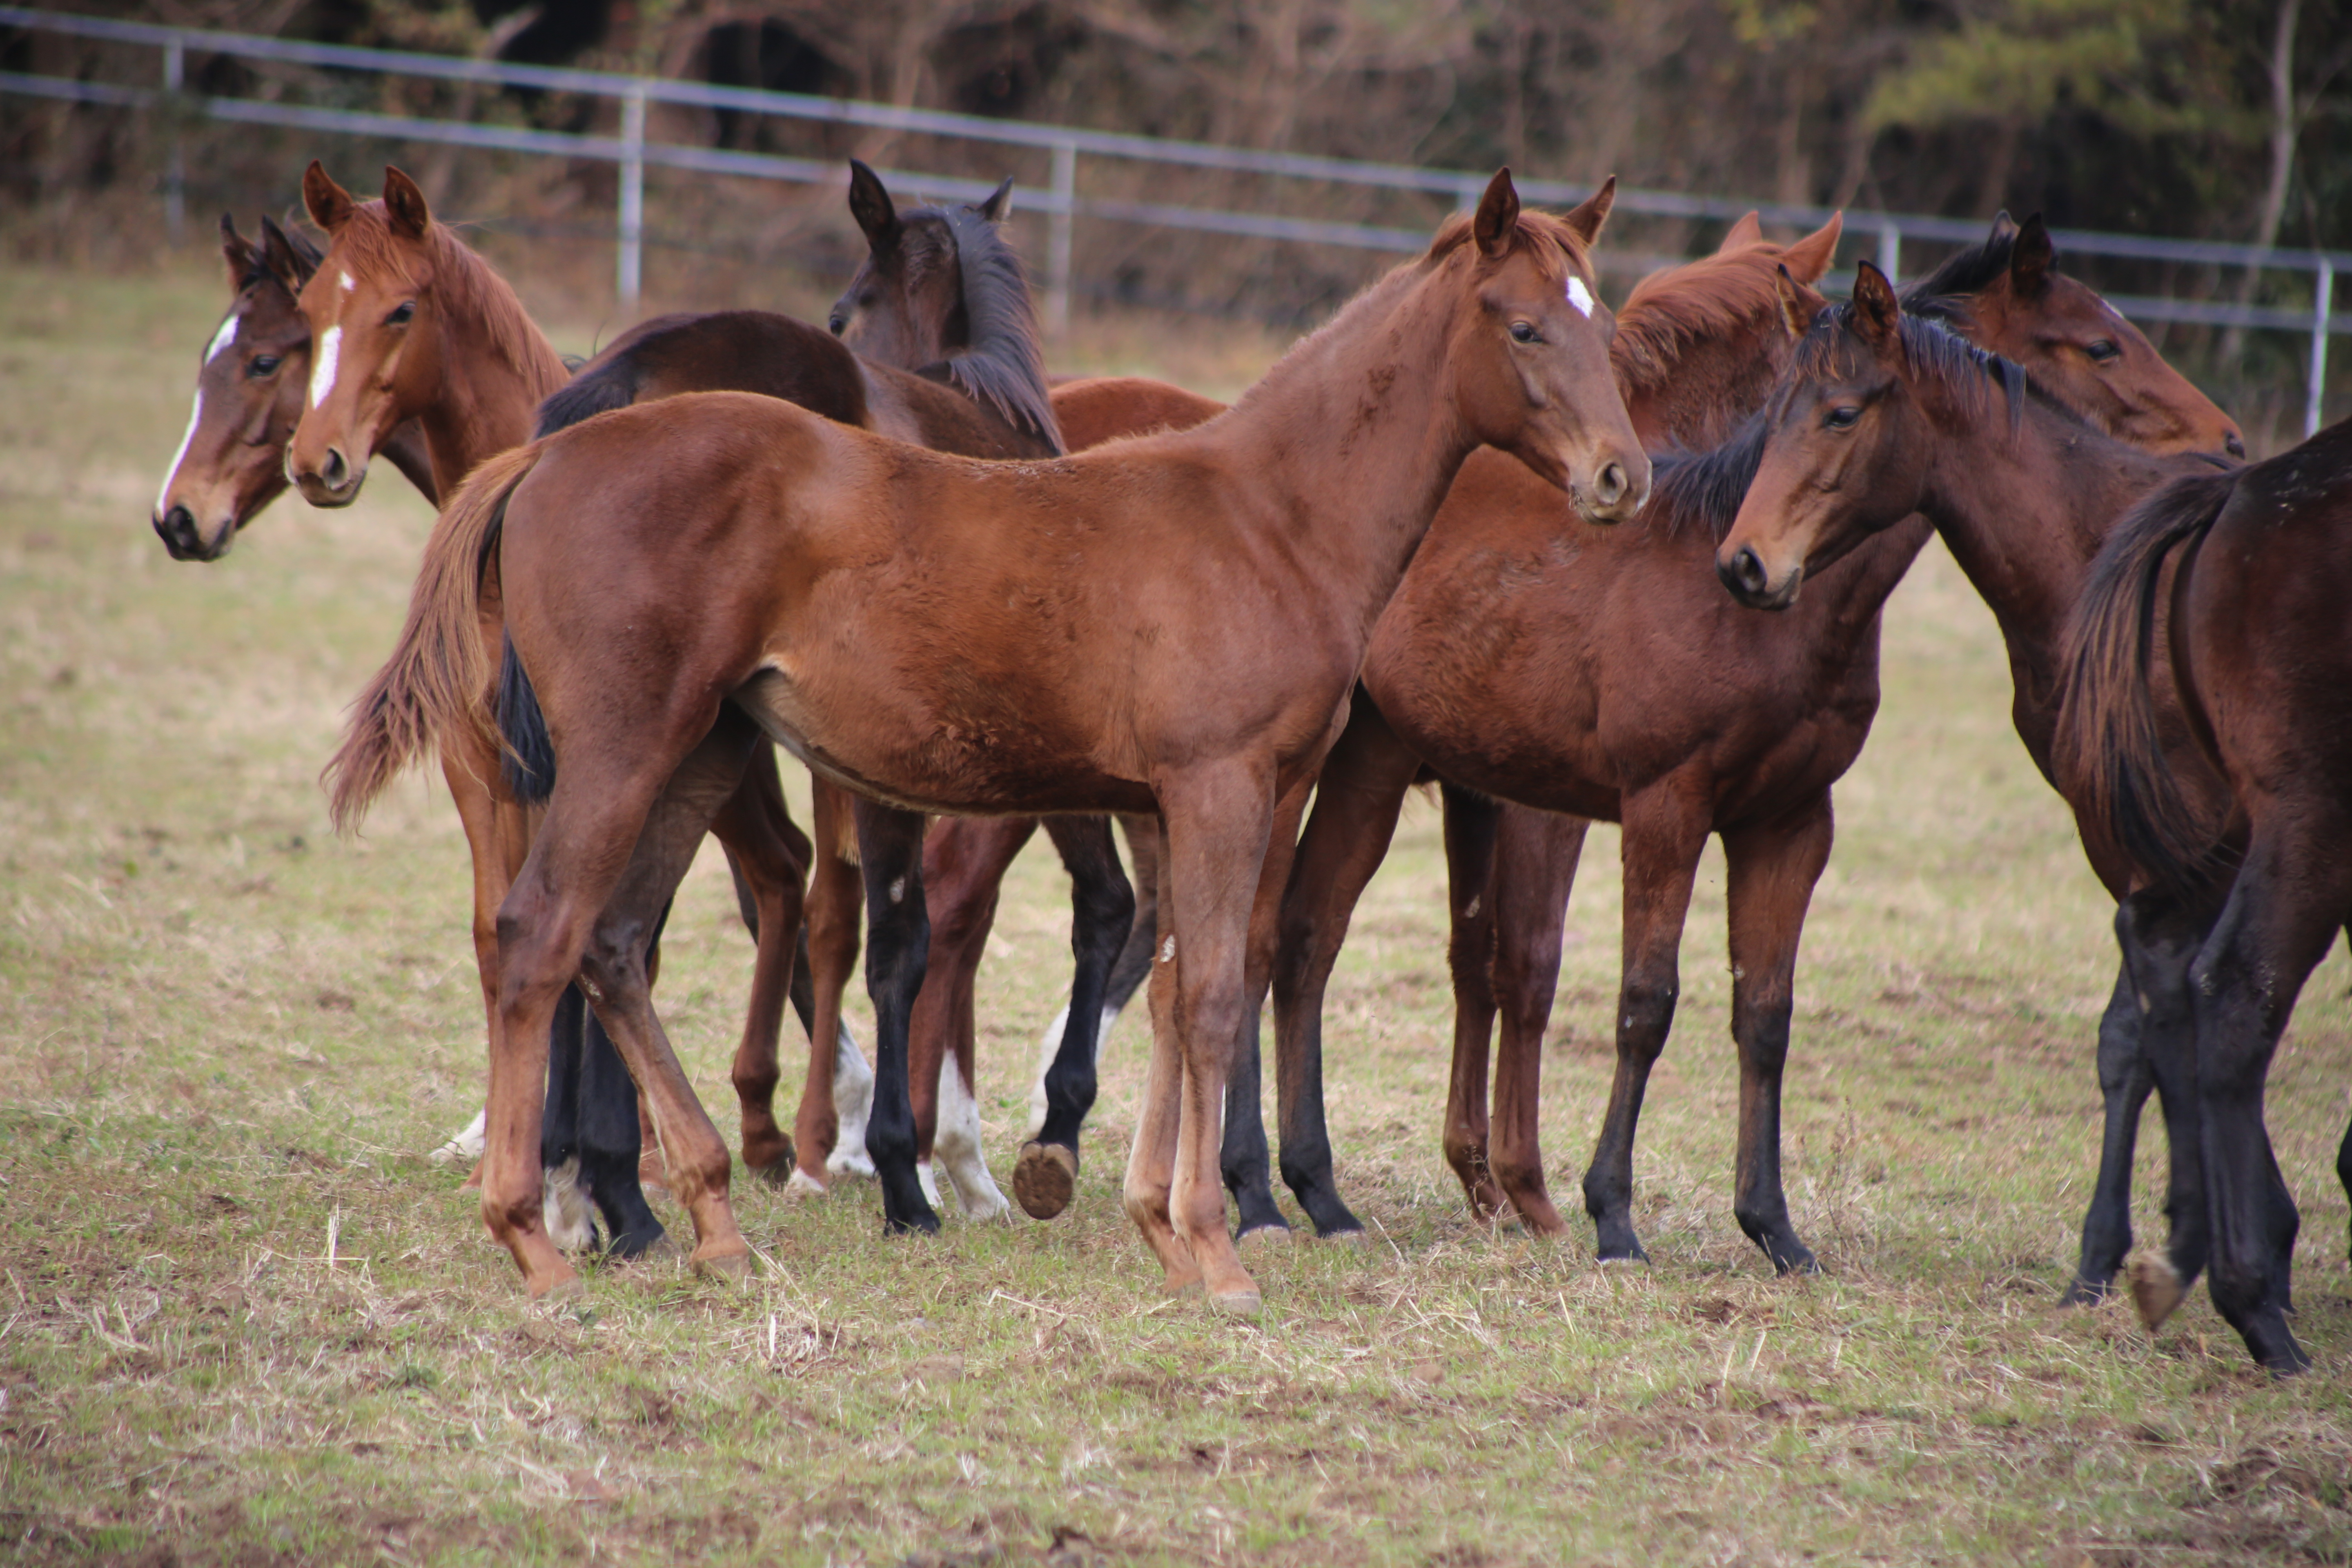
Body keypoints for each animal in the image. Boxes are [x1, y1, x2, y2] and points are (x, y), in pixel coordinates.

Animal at [336, 169, 1656, 1316]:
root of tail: (545, 452)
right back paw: (536, 1233)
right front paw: (1218, 1252)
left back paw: (711, 1217)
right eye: (1523, 326)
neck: (1267, 517)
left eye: (1601, 321)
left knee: (611, 945)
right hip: (624, 747)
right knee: (538, 933)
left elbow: (1165, 988)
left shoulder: (1163, 802)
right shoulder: (1222, 786)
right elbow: (1214, 995)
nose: (1620, 477)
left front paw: (1156, 1226)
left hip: (700, 750)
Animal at [1703, 263, 2305, 1363]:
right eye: (2098, 343)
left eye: (1841, 412)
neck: (2095, 555)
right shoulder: (2140, 850)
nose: (1745, 563)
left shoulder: (2194, 846)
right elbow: (2148, 1033)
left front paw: (2189, 1251)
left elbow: (2164, 1028)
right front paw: (2174, 1251)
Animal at [2060, 414, 2352, 1373]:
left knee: (2161, 959)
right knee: (2231, 989)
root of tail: (2239, 492)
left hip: (2217, 822)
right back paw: (2253, 1307)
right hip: (2305, 811)